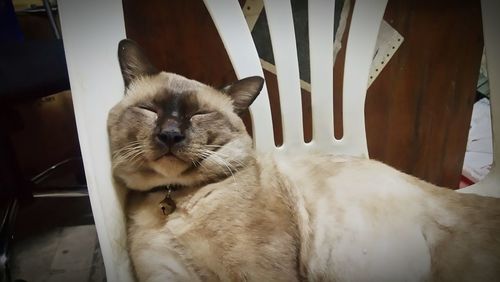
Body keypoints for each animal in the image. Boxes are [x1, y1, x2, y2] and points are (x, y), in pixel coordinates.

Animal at [108, 38, 500, 280]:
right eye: (150, 109)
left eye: (199, 115)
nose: (171, 135)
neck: (172, 198)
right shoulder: (164, 274)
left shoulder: (257, 273)